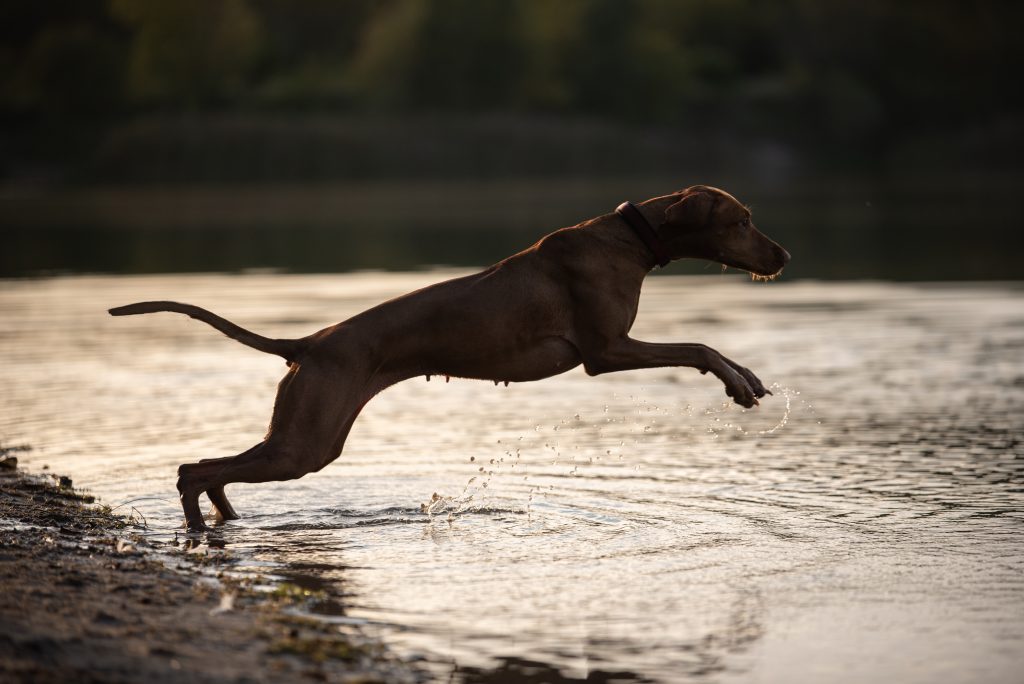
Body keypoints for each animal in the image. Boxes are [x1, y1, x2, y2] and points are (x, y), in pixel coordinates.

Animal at [108, 184, 786, 532]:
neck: (627, 240)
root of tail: (309, 343)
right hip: (307, 443)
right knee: (192, 470)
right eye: (743, 219)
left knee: (214, 470)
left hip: (301, 439)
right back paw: (200, 526)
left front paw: (749, 376)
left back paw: (225, 521)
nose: (783, 255)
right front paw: (738, 381)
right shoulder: (607, 351)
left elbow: (701, 345)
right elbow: (697, 346)